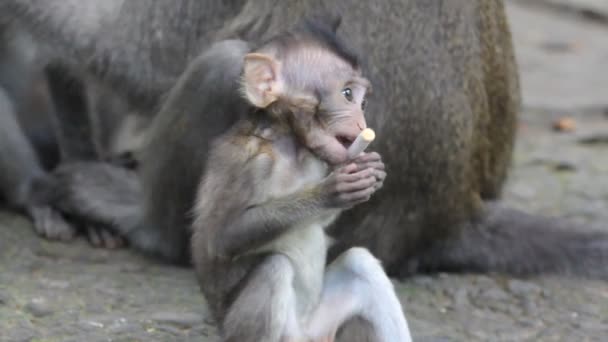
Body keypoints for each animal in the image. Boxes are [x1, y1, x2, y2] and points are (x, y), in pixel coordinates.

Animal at [192, 20, 410, 340]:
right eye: (347, 94)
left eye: (363, 102)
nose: (363, 124)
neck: (289, 145)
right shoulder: (246, 165)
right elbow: (222, 237)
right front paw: (332, 191)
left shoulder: (317, 161)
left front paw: (372, 173)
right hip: (251, 331)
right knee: (274, 268)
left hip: (320, 328)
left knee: (361, 263)